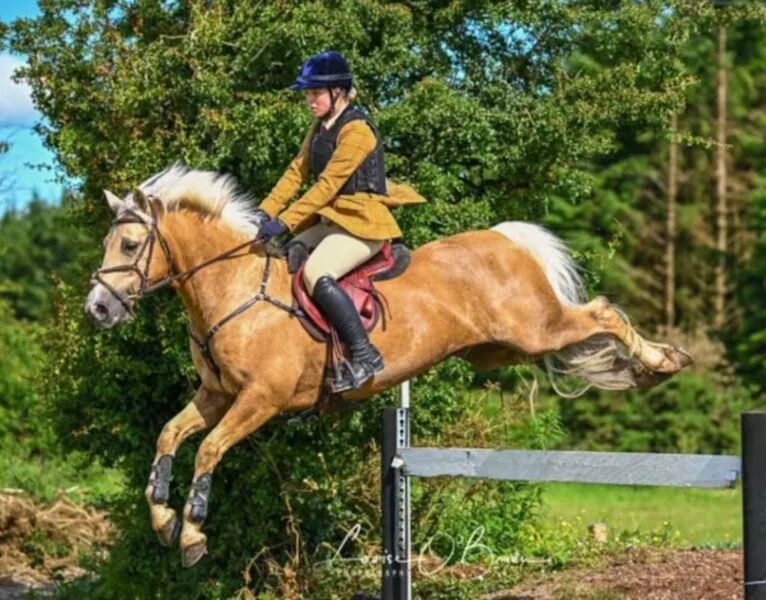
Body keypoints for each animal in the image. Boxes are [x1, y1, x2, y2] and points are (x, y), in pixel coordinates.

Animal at [84, 165, 692, 567]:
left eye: (131, 245)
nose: (98, 309)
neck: (233, 289)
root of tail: (502, 239)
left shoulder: (261, 400)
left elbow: (209, 449)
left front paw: (190, 535)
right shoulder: (216, 396)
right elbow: (169, 435)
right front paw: (163, 519)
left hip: (535, 326)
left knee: (602, 312)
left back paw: (663, 360)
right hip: (507, 346)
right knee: (585, 336)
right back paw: (646, 366)